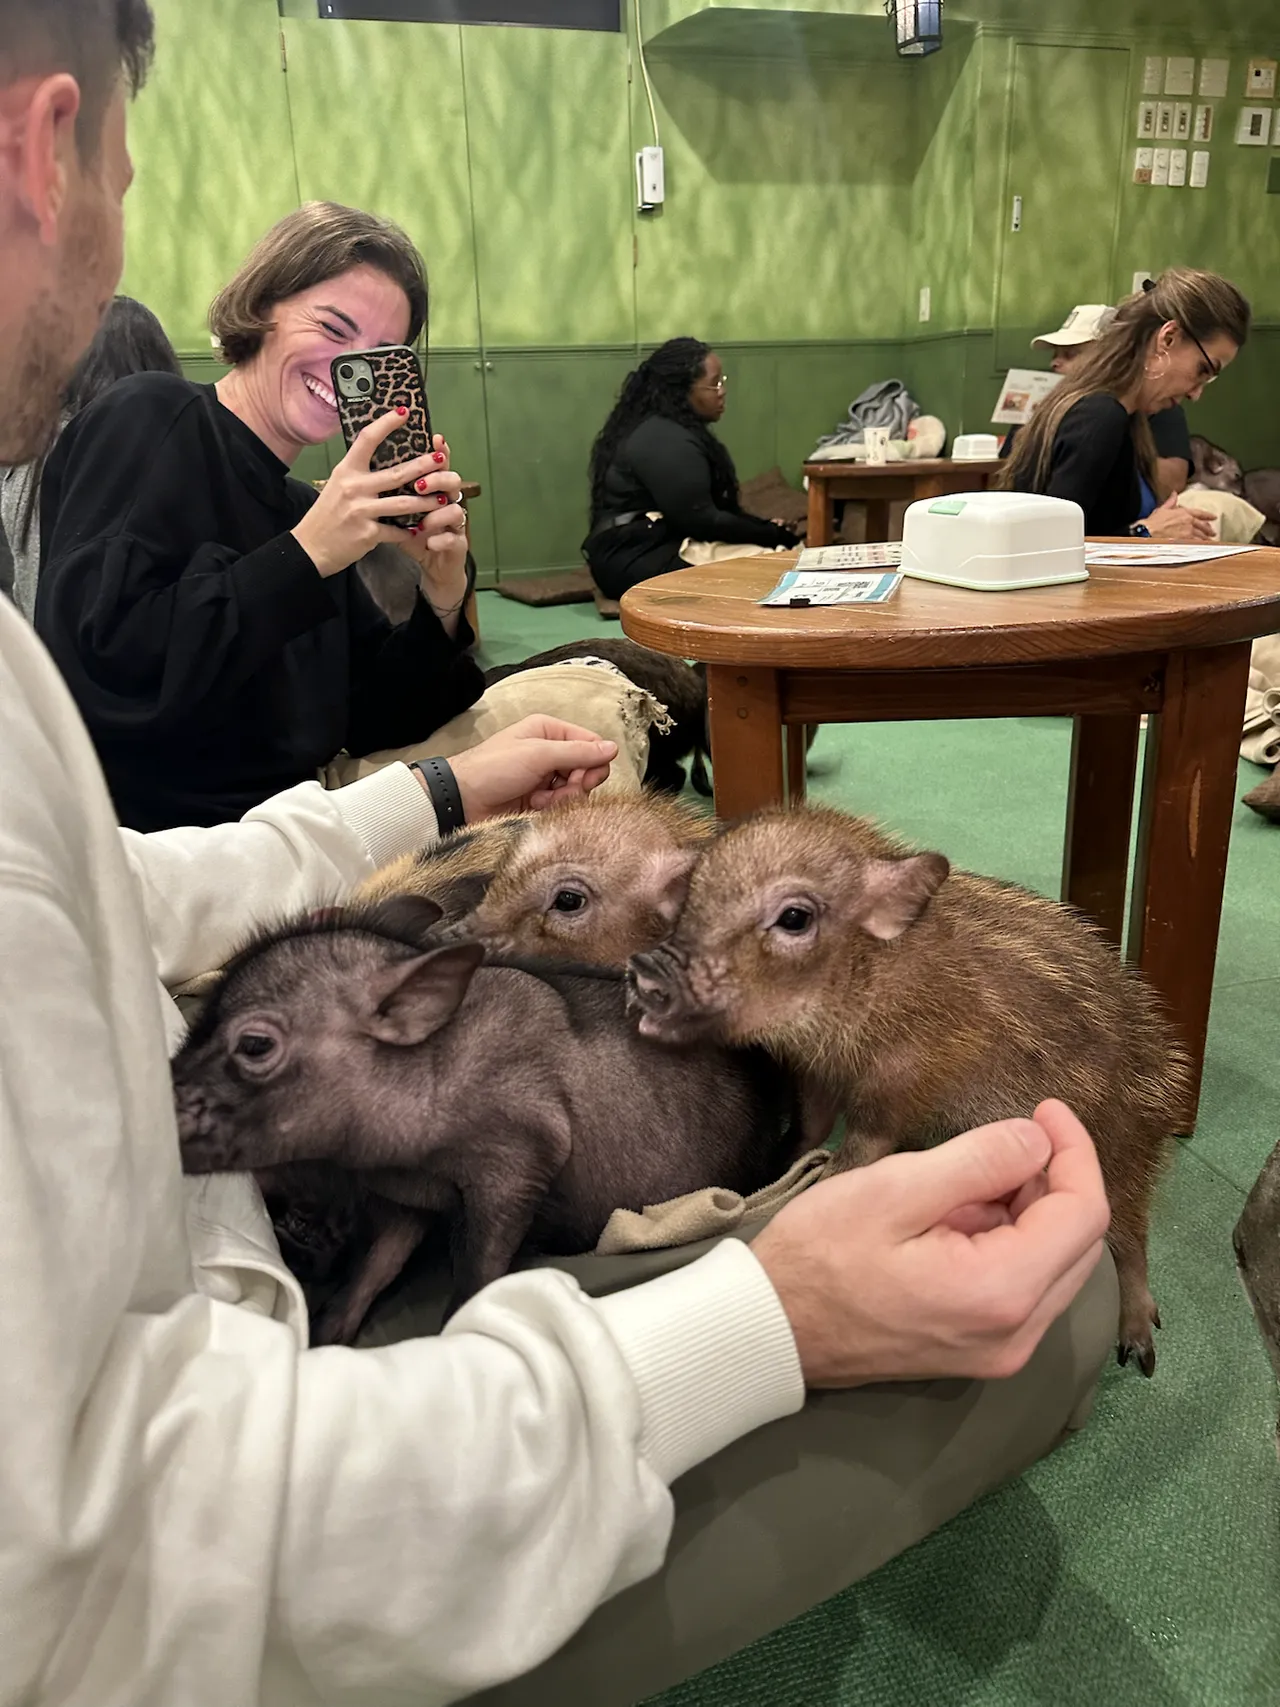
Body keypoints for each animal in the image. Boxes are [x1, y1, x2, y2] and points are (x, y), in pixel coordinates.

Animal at [173, 896, 794, 1344]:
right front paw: (326, 1332)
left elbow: (477, 1272)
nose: (164, 1113)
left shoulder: (519, 1160)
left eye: (254, 1045)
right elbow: (374, 1266)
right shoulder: (411, 1202)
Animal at [627, 806, 1191, 1376]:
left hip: (1120, 1156)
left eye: (794, 918)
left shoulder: (901, 1081)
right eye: (693, 897)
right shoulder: (820, 1073)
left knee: (1131, 1238)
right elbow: (809, 1126)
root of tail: (1165, 1091)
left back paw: (1140, 1349)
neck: (866, 986)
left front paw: (823, 1180)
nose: (646, 968)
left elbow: (864, 1144)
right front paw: (776, 1168)